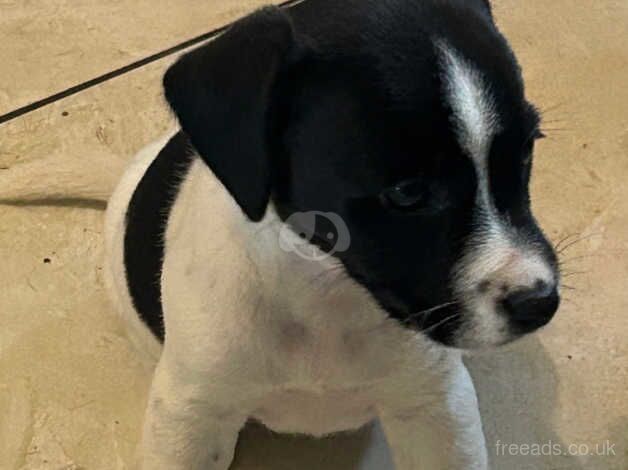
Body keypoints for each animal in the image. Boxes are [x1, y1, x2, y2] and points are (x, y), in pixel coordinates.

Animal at [103, 1, 560, 468]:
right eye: (408, 192)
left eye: (528, 148)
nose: (539, 303)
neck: (325, 293)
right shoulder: (191, 417)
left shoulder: (436, 409)